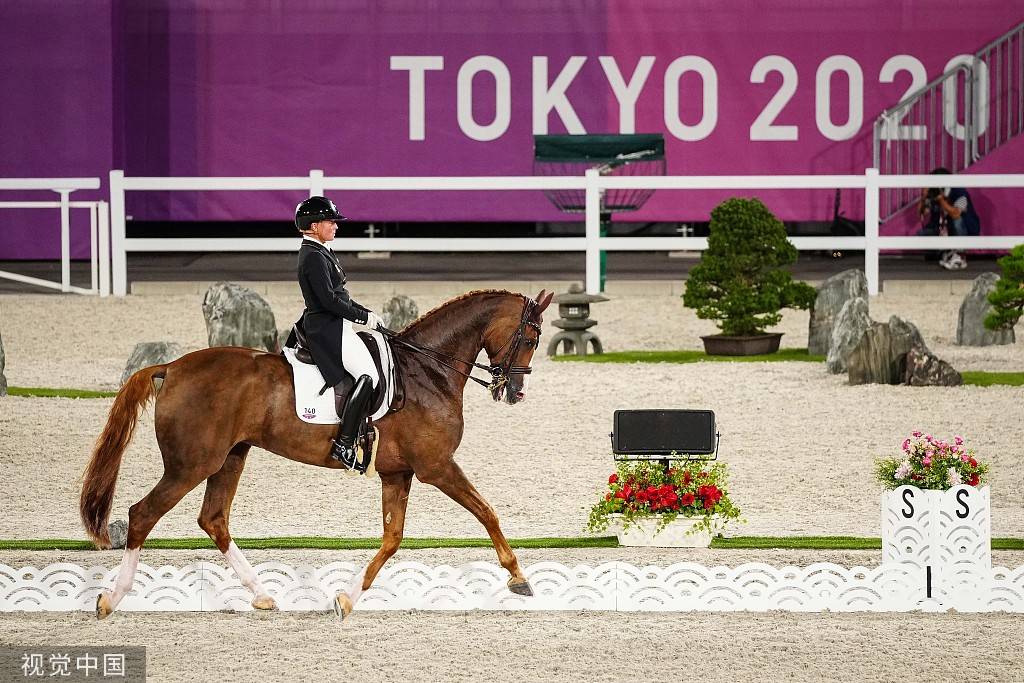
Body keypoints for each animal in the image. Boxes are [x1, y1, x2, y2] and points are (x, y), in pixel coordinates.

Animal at [81, 288, 552, 618]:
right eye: (530, 337)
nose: (515, 391)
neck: (428, 371)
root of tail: (172, 367)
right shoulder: (436, 467)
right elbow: (487, 512)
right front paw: (518, 577)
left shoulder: (398, 473)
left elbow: (392, 539)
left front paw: (346, 599)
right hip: (190, 465)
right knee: (144, 514)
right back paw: (110, 600)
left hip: (230, 457)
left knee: (213, 520)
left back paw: (264, 596)